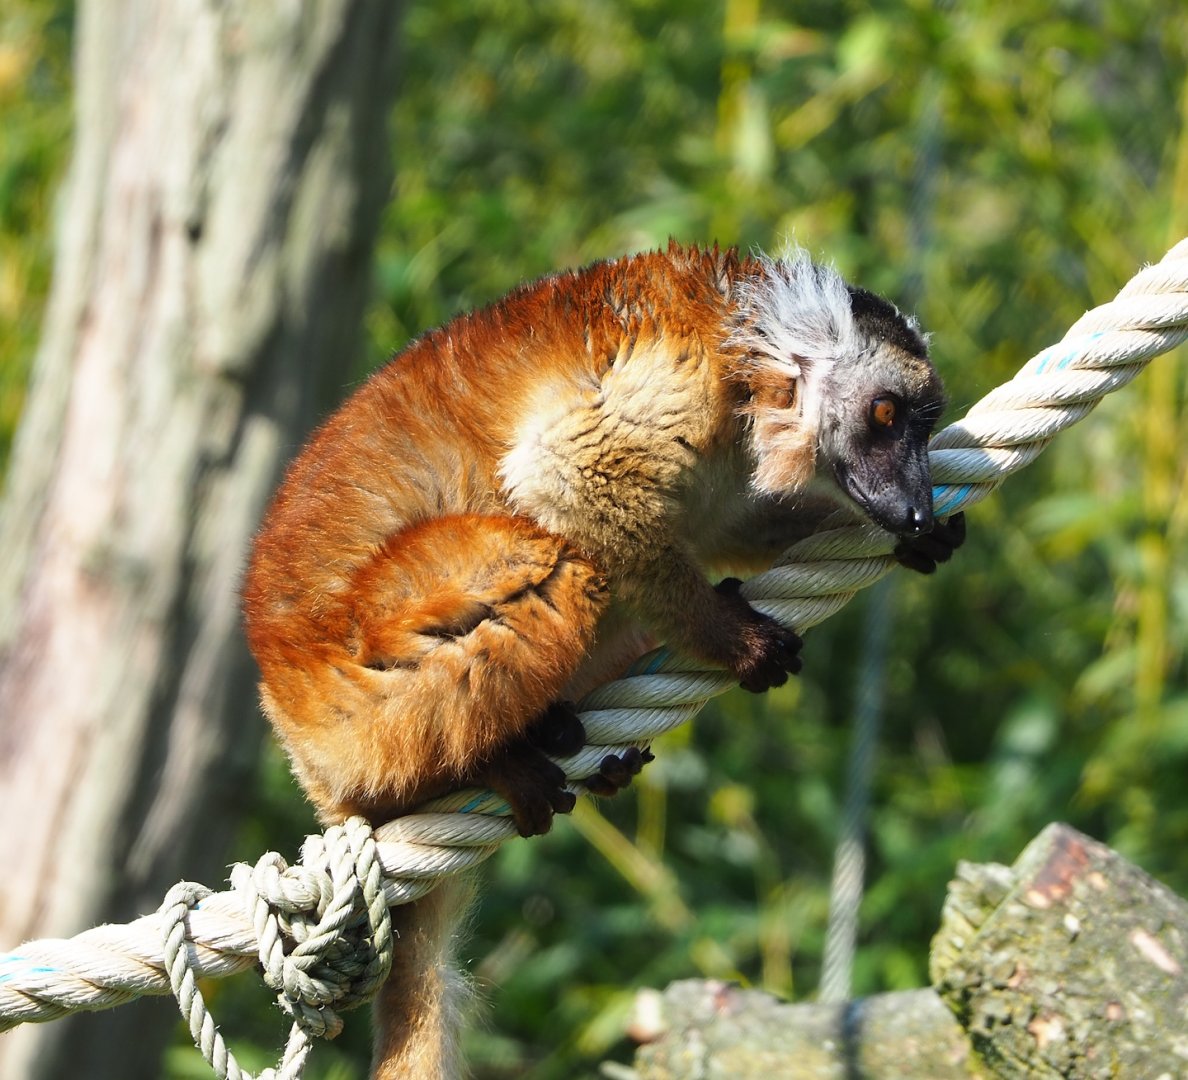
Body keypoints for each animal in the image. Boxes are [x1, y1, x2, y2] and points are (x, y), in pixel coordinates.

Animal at [241, 242, 964, 1079]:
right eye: (886, 418)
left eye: (922, 428)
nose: (912, 505)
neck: (741, 354)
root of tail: (295, 722)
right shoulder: (673, 384)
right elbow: (569, 478)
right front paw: (732, 639)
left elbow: (721, 525)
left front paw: (919, 538)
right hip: (367, 708)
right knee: (558, 559)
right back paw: (485, 764)